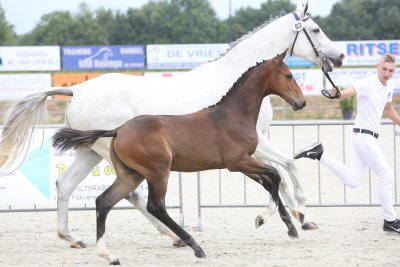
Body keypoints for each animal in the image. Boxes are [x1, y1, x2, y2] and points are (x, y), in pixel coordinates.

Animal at [0, 2, 344, 250]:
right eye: (316, 29)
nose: (340, 56)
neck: (232, 87)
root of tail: (78, 90)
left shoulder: (255, 145)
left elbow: (279, 174)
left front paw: (282, 216)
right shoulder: (255, 144)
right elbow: (287, 167)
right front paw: (298, 214)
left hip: (90, 152)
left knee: (66, 186)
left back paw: (72, 238)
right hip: (114, 155)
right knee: (134, 196)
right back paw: (176, 236)